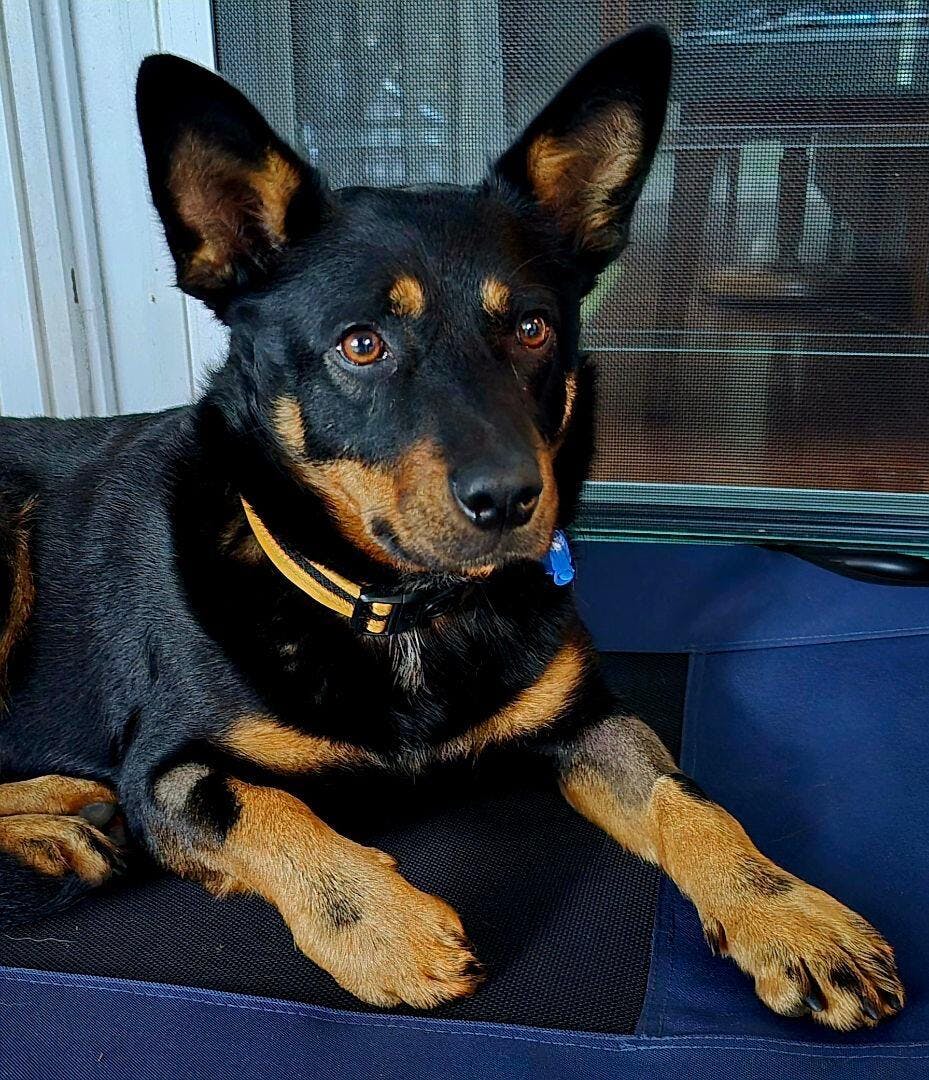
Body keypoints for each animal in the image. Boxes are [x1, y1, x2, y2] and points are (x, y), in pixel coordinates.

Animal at [0, 26, 903, 1030]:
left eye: (534, 328)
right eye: (361, 343)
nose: (511, 500)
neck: (403, 609)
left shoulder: (589, 719)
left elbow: (691, 802)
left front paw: (789, 915)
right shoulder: (168, 767)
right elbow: (266, 809)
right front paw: (385, 927)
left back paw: (65, 811)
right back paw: (58, 821)